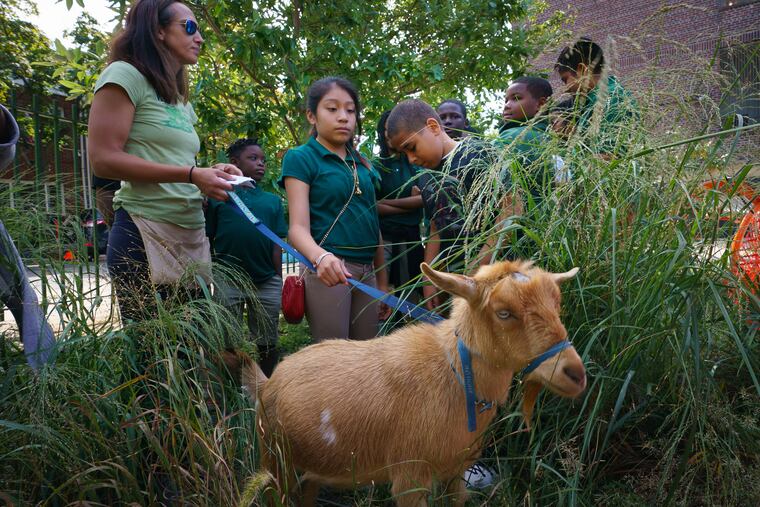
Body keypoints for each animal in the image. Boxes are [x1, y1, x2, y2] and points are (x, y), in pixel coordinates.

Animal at [229, 260, 587, 506]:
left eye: (557, 303)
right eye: (503, 313)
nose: (575, 373)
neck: (453, 377)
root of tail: (268, 381)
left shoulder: (456, 470)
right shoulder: (409, 478)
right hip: (274, 461)